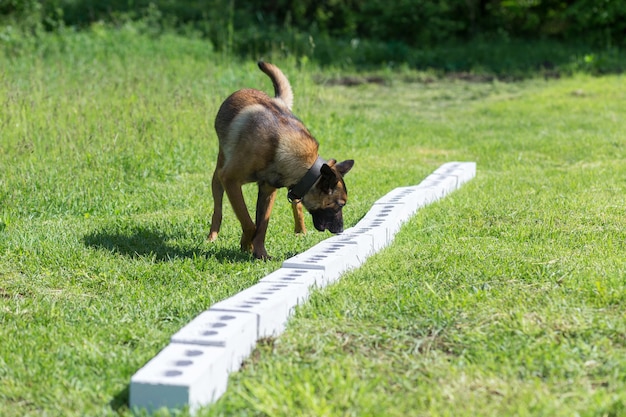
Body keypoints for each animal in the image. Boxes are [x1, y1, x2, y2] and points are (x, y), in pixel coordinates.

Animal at [208, 61, 354, 260]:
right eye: (339, 205)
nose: (341, 230)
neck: (279, 146)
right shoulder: (231, 181)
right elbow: (249, 222)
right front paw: (247, 245)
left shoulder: (269, 190)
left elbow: (262, 225)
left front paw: (260, 253)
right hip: (218, 175)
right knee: (218, 208)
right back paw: (212, 236)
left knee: (296, 206)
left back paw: (300, 231)